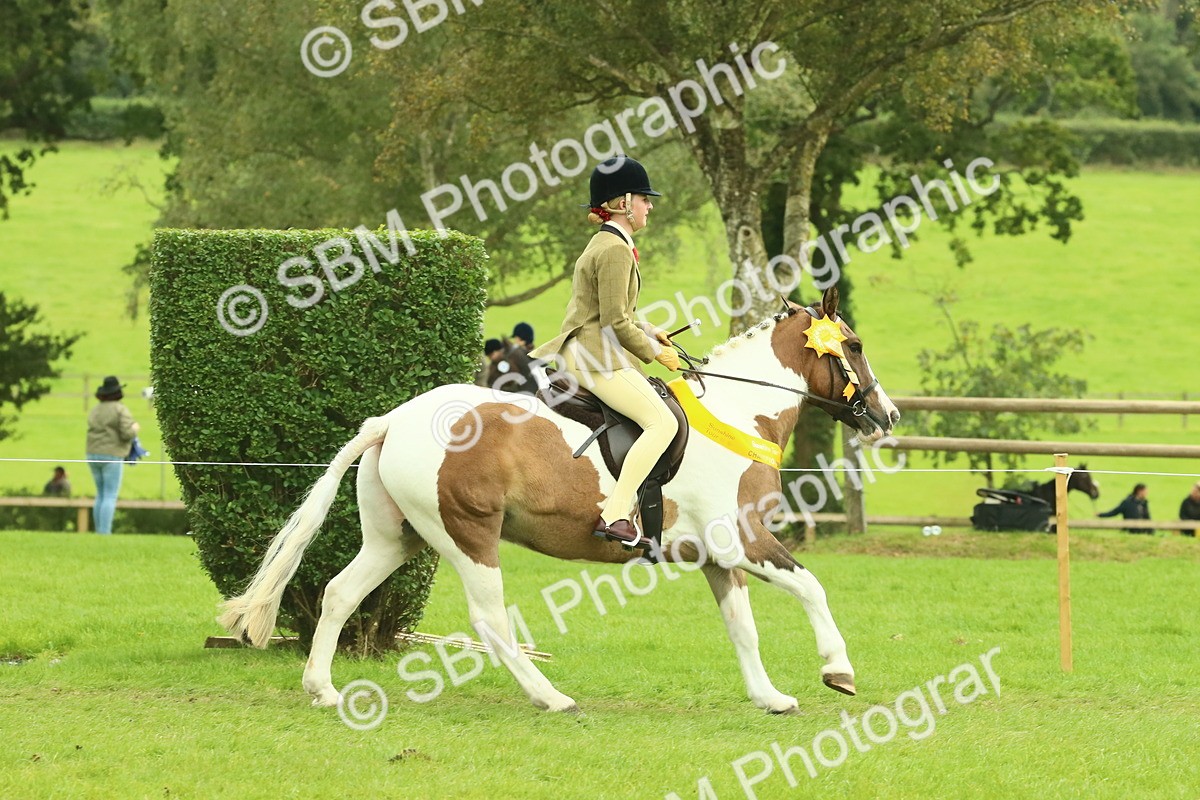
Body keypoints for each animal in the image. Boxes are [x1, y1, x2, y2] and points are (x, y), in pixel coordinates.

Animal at [219, 284, 901, 714]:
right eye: (856, 345)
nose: (888, 416)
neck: (738, 413)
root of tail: (394, 419)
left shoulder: (716, 557)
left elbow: (743, 629)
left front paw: (769, 698)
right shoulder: (744, 542)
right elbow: (812, 587)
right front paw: (838, 670)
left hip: (398, 537)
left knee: (338, 593)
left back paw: (322, 689)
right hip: (469, 535)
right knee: (490, 621)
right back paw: (550, 697)